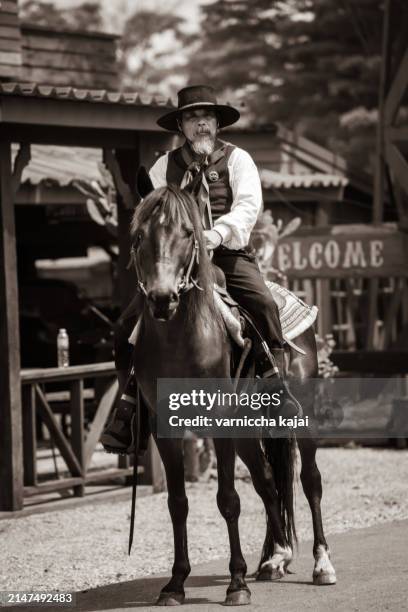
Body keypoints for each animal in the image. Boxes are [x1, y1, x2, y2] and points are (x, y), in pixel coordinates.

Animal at [129, 184, 336, 604]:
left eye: (188, 233)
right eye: (139, 236)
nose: (161, 298)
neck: (180, 341)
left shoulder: (220, 422)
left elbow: (228, 499)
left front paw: (237, 582)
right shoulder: (165, 429)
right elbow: (178, 503)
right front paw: (175, 583)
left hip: (300, 417)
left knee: (310, 480)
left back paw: (321, 563)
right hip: (247, 432)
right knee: (268, 483)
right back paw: (276, 558)